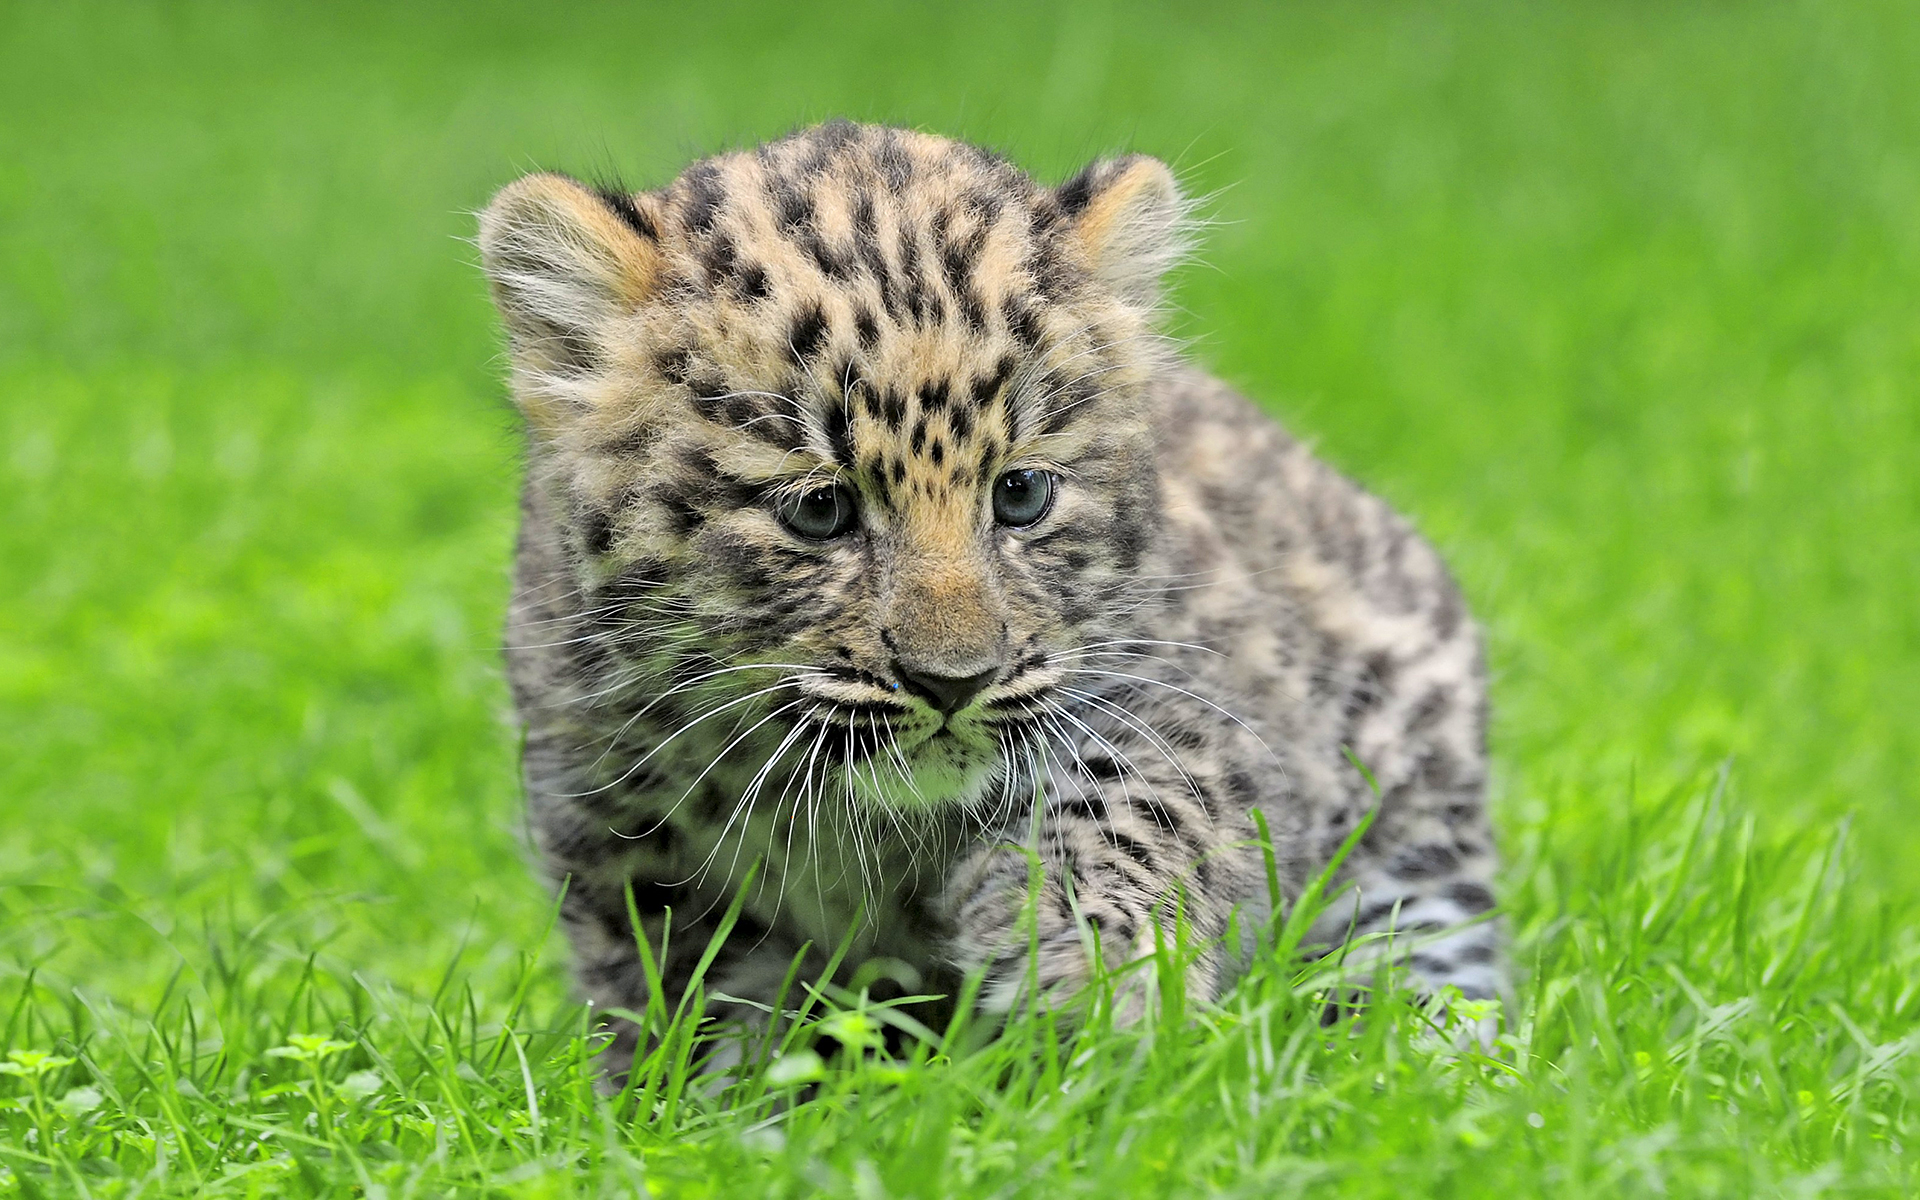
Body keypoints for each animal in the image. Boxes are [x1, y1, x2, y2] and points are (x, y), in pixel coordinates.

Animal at [476, 120, 1504, 1074]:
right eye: (818, 510)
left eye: (1021, 495)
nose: (953, 682)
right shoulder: (615, 823)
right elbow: (693, 1000)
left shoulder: (1185, 693)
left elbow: (1131, 800)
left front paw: (1089, 973)